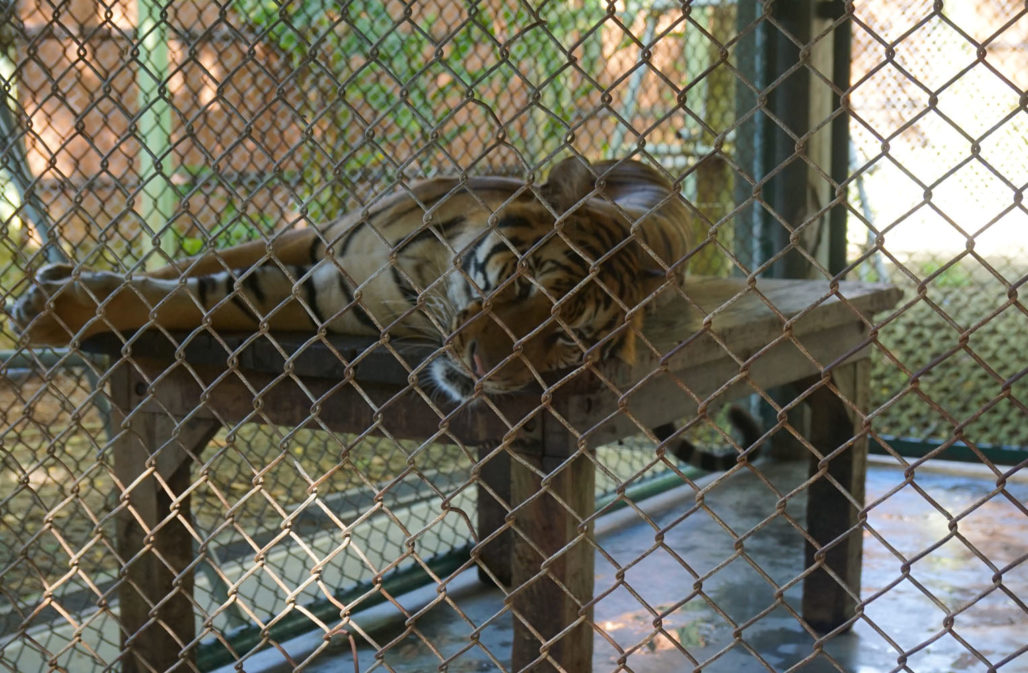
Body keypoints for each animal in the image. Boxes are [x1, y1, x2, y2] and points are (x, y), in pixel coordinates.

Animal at [6, 156, 764, 474]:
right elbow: (190, 264)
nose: (485, 367)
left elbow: (197, 293)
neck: (435, 270)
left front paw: (54, 309)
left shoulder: (308, 294)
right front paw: (59, 279)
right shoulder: (314, 238)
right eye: (524, 284)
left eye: (567, 344)